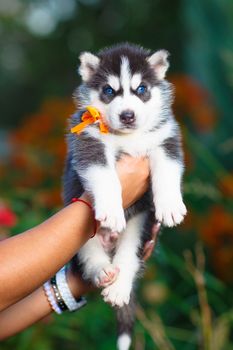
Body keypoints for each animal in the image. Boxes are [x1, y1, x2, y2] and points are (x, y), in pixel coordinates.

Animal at [63, 43, 186, 350]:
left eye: (142, 89)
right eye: (109, 91)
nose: (128, 115)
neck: (128, 137)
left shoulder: (166, 140)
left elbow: (167, 171)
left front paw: (170, 205)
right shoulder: (90, 143)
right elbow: (105, 177)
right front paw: (111, 209)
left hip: (141, 226)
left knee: (129, 257)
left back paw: (119, 287)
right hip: (79, 235)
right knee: (89, 256)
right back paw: (102, 271)